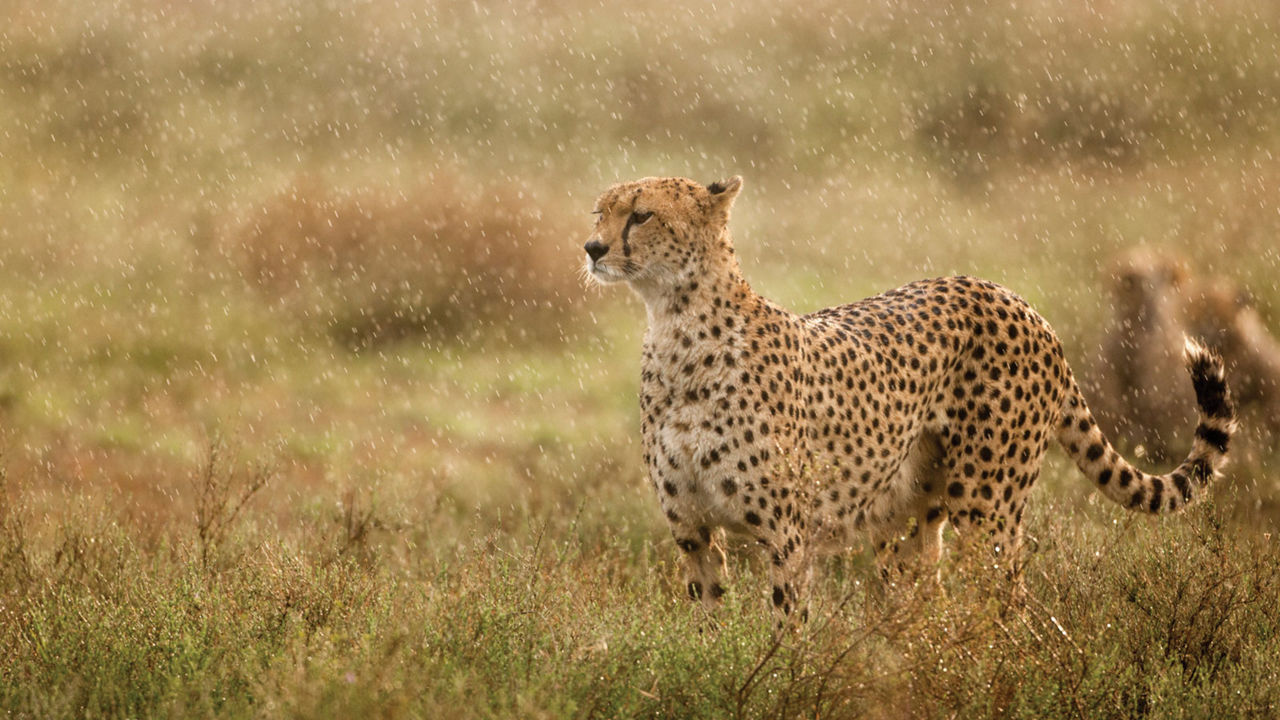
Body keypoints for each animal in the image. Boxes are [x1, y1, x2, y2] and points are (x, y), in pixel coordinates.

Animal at [586, 175, 1233, 622]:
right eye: (600, 210)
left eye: (641, 214)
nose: (592, 247)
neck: (675, 325)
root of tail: (1014, 298)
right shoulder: (692, 532)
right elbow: (708, 625)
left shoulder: (788, 537)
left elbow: (786, 631)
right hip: (904, 523)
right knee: (928, 608)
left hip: (986, 505)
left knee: (1012, 609)